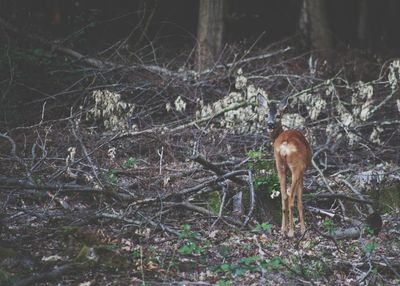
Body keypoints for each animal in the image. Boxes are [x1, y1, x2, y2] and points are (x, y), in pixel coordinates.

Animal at [260, 95, 312, 238]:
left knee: (284, 197)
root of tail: (285, 144)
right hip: (297, 168)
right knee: (292, 199)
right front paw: (303, 229)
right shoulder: (302, 173)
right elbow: (300, 202)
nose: (270, 124)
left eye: (278, 115)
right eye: (265, 115)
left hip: (279, 166)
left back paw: (283, 230)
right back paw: (292, 232)